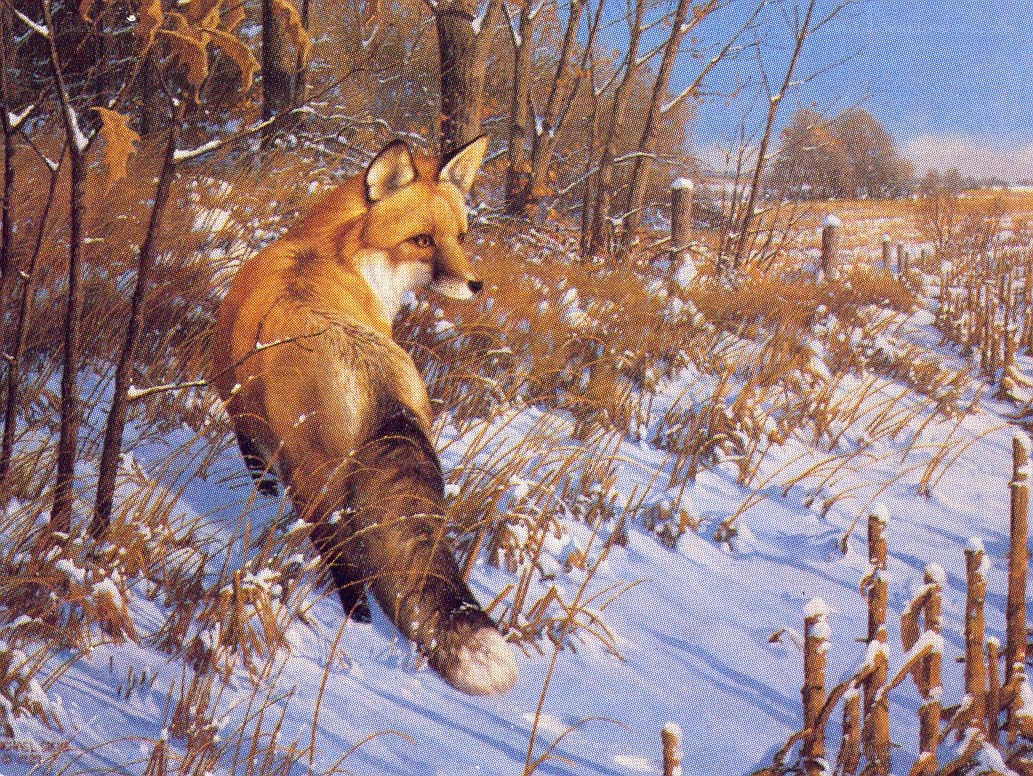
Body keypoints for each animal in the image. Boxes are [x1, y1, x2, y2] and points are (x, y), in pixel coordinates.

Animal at [211, 136, 518, 696]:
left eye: (460, 236)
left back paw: (356, 621)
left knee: (342, 559)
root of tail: (378, 384)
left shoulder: (235, 400)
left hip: (315, 487)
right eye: (422, 240)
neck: (328, 253)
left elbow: (253, 462)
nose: (475, 283)